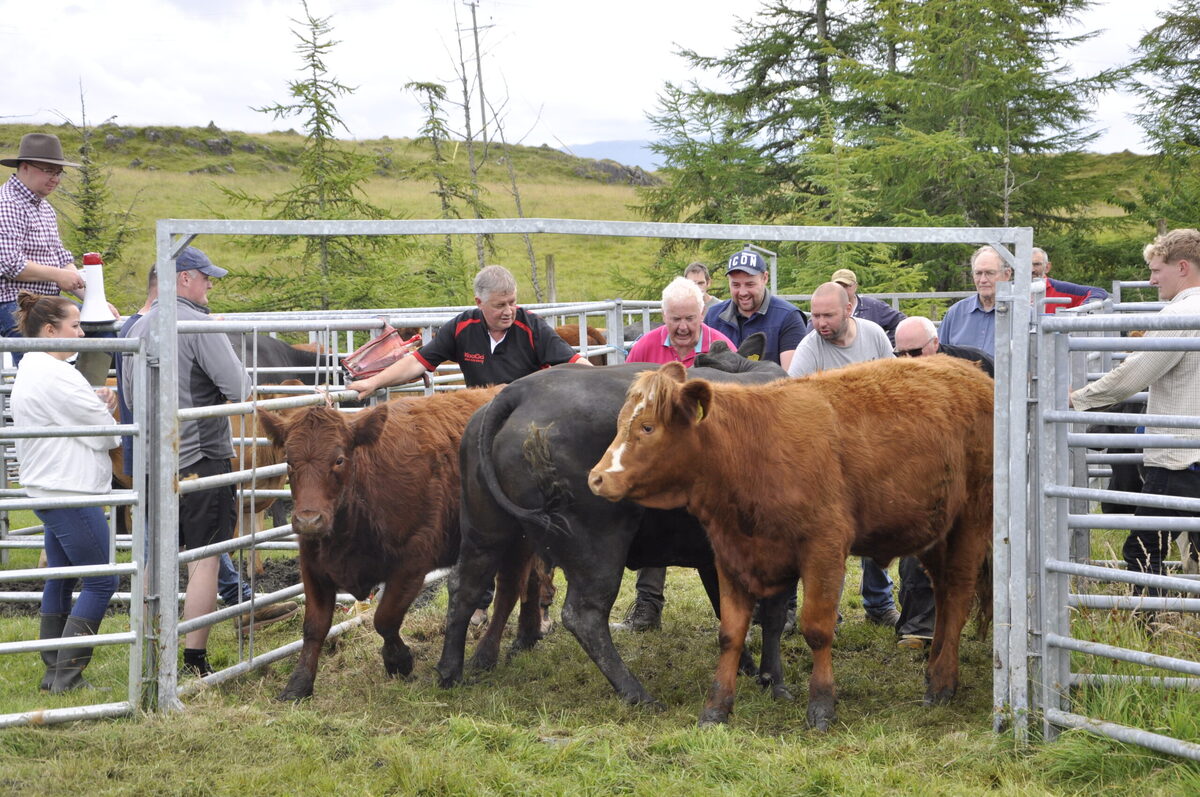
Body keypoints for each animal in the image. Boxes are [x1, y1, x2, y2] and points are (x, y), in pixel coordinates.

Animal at [262, 388, 544, 700]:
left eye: (339, 459)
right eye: (289, 461)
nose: (308, 520)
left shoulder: (412, 563)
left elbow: (385, 618)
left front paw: (399, 661)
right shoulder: (314, 567)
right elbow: (314, 627)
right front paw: (298, 684)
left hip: (513, 541)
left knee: (509, 590)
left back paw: (486, 655)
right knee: (534, 580)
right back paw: (527, 636)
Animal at [436, 336, 792, 705]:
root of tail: (521, 390)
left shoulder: (714, 555)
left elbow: (727, 611)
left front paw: (748, 668)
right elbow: (772, 615)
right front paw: (774, 681)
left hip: (486, 529)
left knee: (465, 586)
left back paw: (450, 673)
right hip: (599, 539)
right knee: (584, 614)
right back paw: (637, 694)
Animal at [585, 357, 988, 729]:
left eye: (648, 426)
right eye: (621, 423)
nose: (597, 478)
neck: (753, 449)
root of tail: (971, 371)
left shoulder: (824, 549)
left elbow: (817, 629)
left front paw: (821, 706)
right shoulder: (732, 554)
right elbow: (731, 634)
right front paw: (716, 708)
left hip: (970, 524)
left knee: (958, 595)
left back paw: (941, 684)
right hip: (935, 534)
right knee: (944, 596)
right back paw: (934, 671)